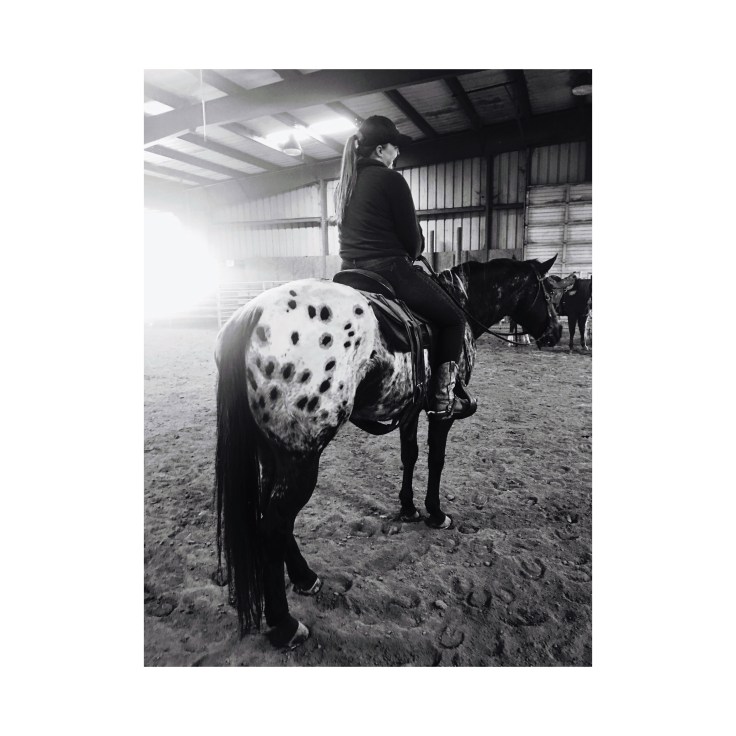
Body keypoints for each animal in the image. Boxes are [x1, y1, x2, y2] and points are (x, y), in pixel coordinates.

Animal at [214, 255, 562, 649]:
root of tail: (253, 313)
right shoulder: (441, 413)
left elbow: (409, 455)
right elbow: (436, 459)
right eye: (548, 292)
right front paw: (435, 513)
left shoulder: (409, 409)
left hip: (274, 452)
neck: (462, 302)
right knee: (273, 526)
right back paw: (285, 624)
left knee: (268, 514)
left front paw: (408, 508)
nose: (555, 332)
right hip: (302, 458)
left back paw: (305, 577)